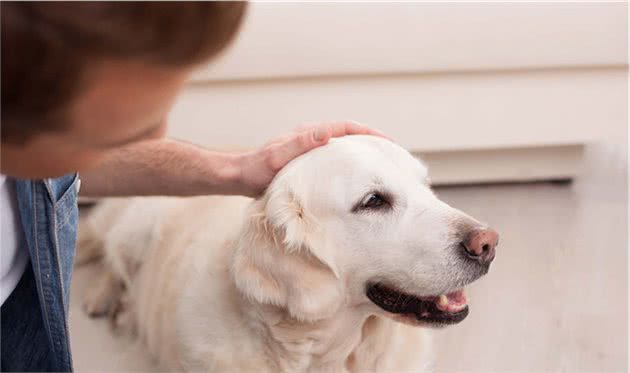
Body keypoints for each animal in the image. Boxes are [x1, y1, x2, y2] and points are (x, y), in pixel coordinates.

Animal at [79, 135, 502, 370]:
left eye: (426, 186)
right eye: (373, 201)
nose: (489, 244)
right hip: (137, 224)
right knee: (113, 261)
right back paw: (106, 301)